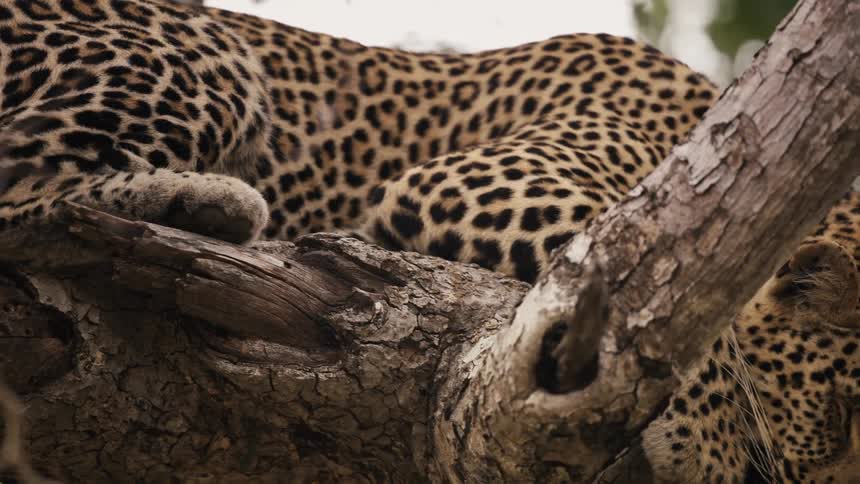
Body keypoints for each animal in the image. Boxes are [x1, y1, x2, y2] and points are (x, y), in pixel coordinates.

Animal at [0, 0, 856, 482]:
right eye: (845, 412)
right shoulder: (482, 180)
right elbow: (638, 280)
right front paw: (713, 444)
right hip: (205, 58)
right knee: (21, 199)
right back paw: (205, 206)